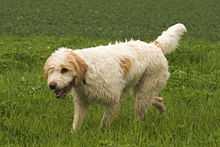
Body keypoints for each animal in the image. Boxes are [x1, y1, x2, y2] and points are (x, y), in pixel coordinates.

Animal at [43, 23, 186, 131]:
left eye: (64, 69)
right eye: (51, 71)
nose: (52, 85)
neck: (88, 74)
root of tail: (154, 45)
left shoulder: (112, 102)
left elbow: (104, 124)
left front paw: (101, 134)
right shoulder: (82, 103)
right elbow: (76, 123)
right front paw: (74, 135)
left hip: (143, 93)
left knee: (141, 113)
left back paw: (137, 127)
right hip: (143, 92)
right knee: (157, 100)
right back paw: (162, 113)